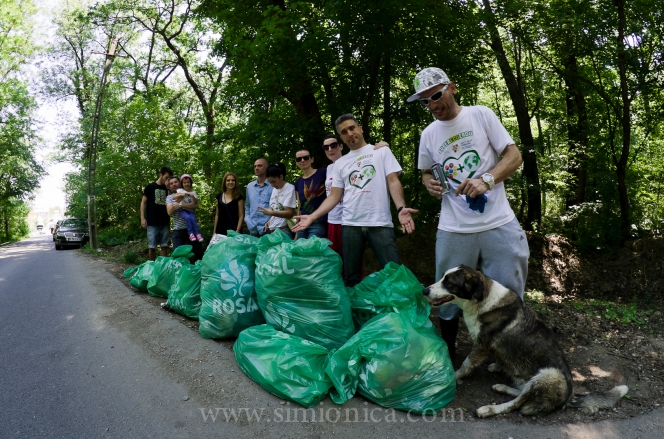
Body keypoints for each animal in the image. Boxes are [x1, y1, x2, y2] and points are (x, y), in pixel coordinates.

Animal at [426, 264, 628, 420]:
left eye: (449, 282)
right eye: (443, 277)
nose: (424, 290)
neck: (481, 299)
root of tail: (570, 397)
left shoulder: (481, 346)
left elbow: (466, 364)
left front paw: (452, 376)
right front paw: (497, 366)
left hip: (549, 374)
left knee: (517, 404)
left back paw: (488, 409)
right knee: (522, 392)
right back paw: (503, 387)